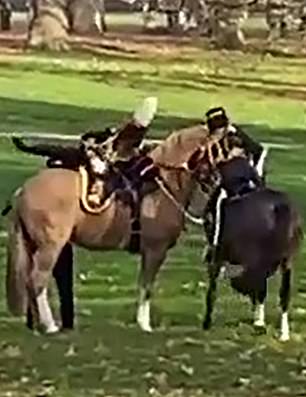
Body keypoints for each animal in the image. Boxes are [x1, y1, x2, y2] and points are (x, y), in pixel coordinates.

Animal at [5, 123, 215, 332]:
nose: (215, 180)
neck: (160, 185)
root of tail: (22, 191)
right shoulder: (155, 251)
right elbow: (146, 287)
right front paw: (144, 325)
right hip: (50, 247)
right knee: (37, 281)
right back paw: (49, 326)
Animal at [201, 157, 304, 340]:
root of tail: (280, 208)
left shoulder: (219, 258)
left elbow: (213, 291)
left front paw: (207, 323)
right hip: (284, 262)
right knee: (281, 294)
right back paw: (281, 332)